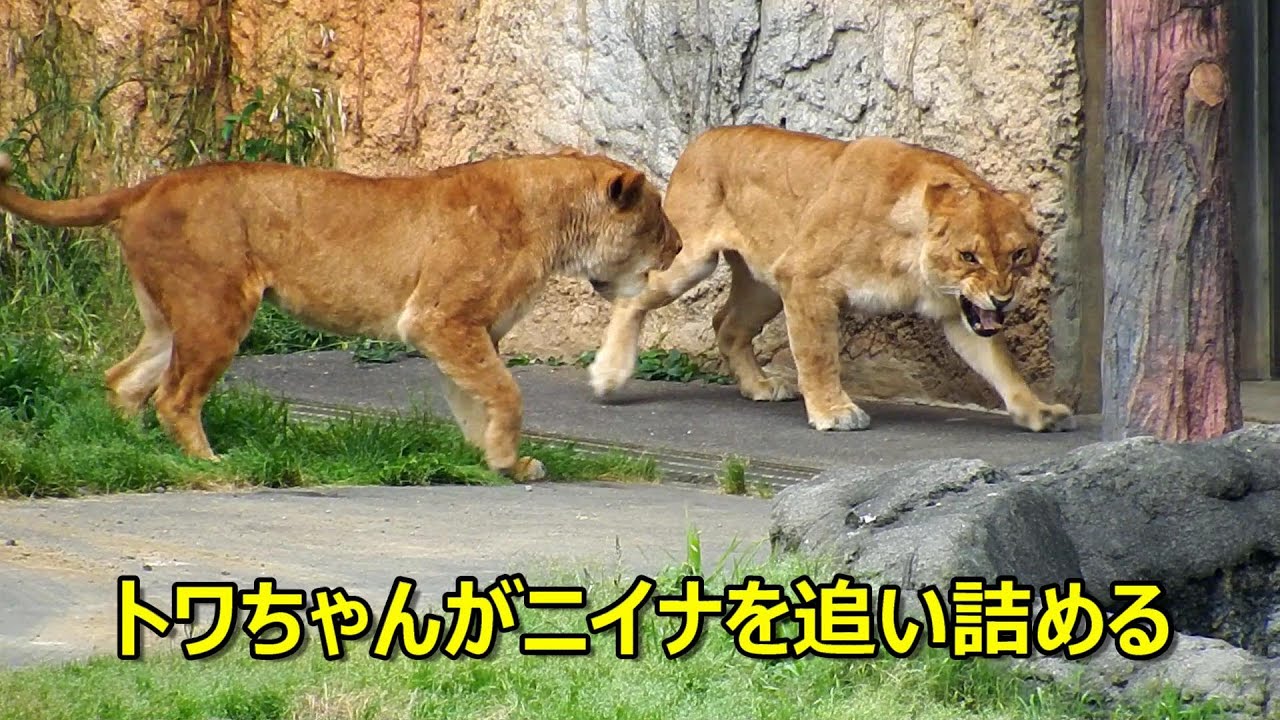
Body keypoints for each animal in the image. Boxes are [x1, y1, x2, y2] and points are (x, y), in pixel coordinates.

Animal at [0, 149, 681, 480]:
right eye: (658, 220)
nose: (677, 248)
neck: (554, 221)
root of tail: (150, 184)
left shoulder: (466, 332)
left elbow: (477, 400)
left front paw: (498, 463)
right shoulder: (439, 320)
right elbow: (508, 394)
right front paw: (507, 459)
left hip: (175, 317)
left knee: (125, 380)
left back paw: (134, 450)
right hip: (217, 308)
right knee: (173, 394)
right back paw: (208, 464)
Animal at [588, 124, 1075, 433]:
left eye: (1018, 254)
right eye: (968, 256)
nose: (1002, 299)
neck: (911, 253)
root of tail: (702, 138)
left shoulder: (961, 313)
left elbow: (1001, 365)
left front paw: (1038, 411)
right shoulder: (805, 278)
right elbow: (819, 354)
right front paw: (834, 412)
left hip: (765, 286)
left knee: (727, 326)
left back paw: (759, 386)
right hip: (691, 261)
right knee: (633, 295)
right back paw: (609, 375)